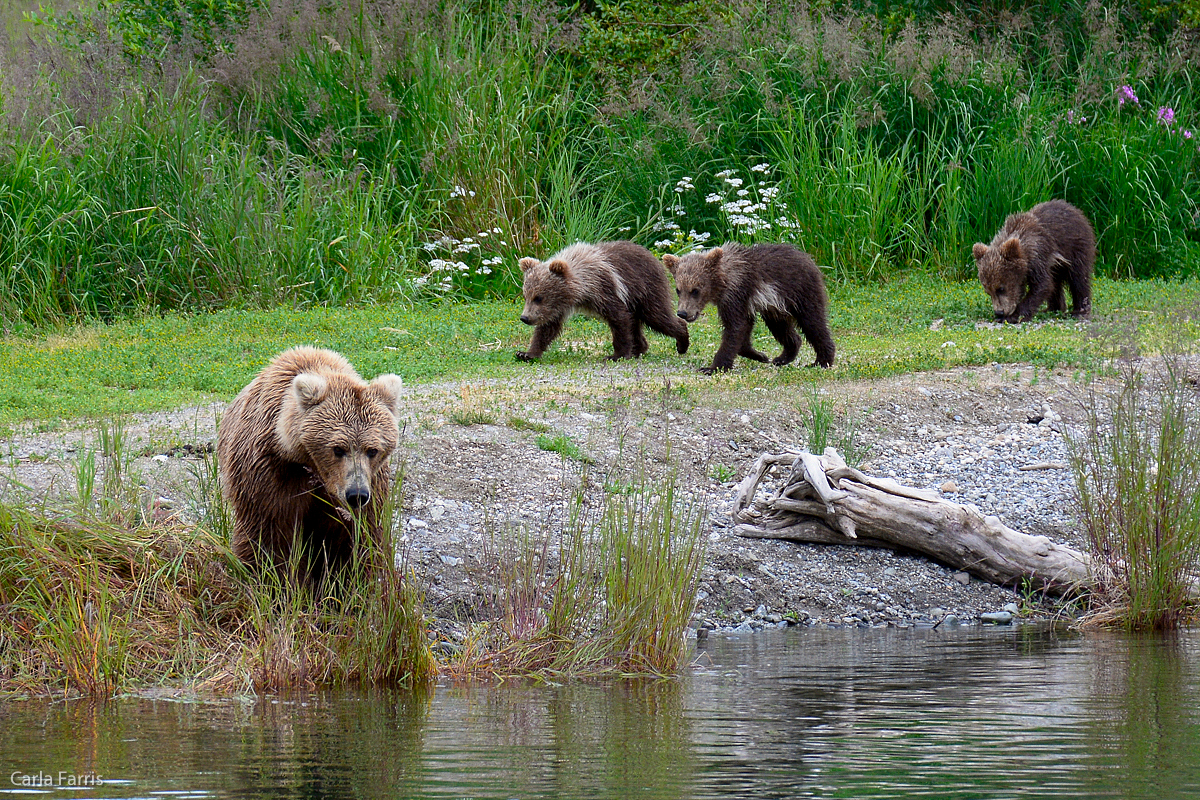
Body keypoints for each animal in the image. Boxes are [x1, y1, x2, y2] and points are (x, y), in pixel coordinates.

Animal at [216, 347, 403, 578]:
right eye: (338, 448)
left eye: (372, 450)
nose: (356, 494)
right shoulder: (271, 471)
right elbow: (269, 533)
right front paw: (272, 574)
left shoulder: (370, 483)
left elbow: (357, 537)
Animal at [511, 239, 691, 362]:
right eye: (526, 296)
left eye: (539, 297)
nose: (525, 317)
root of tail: (652, 255)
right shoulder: (559, 306)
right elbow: (548, 328)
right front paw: (526, 353)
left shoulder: (605, 290)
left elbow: (619, 319)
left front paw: (616, 355)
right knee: (637, 322)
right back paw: (639, 348)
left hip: (646, 289)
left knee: (657, 316)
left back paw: (681, 342)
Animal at [667, 242, 835, 374]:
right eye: (678, 289)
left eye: (695, 290)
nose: (682, 313)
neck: (723, 281)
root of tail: (809, 258)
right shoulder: (738, 302)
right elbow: (742, 330)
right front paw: (760, 355)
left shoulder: (737, 294)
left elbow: (735, 328)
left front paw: (712, 367)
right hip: (775, 307)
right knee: (782, 328)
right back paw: (782, 357)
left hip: (802, 292)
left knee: (813, 322)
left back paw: (822, 360)